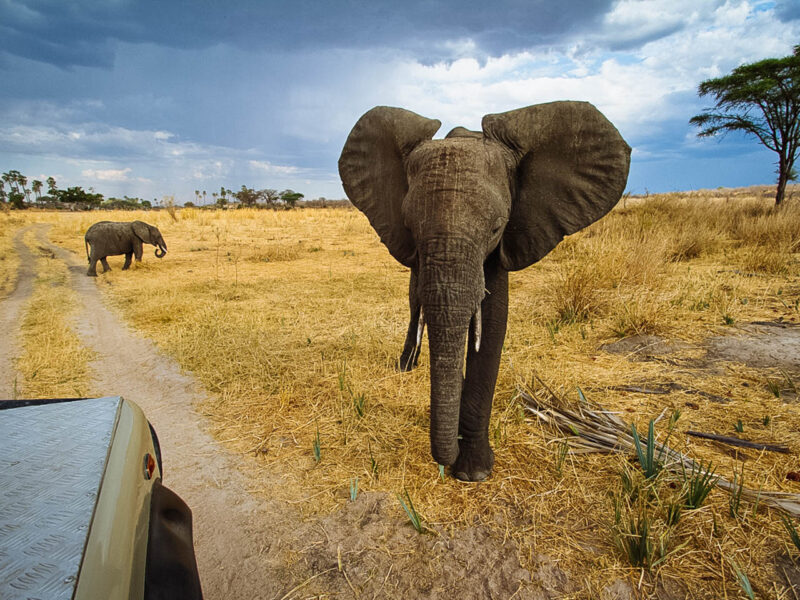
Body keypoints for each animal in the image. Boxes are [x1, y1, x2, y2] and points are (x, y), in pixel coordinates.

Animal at [338, 101, 632, 480]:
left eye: (495, 228)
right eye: (409, 227)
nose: (445, 461)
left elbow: (492, 322)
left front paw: (473, 473)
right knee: (414, 297)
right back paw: (406, 366)